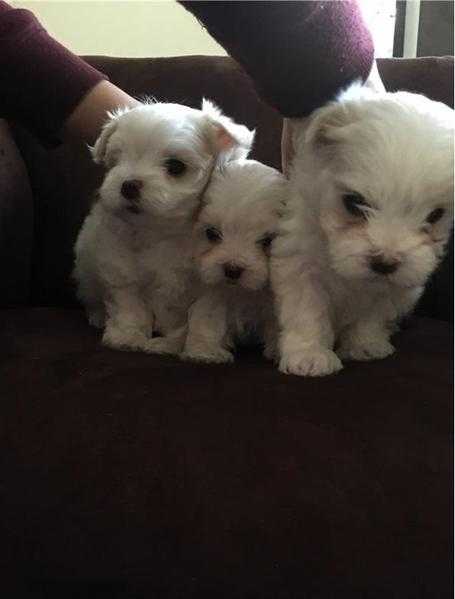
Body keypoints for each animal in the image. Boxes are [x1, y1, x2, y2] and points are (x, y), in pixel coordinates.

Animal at [73, 98, 255, 352]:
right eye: (118, 160)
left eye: (175, 167)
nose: (128, 185)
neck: (163, 231)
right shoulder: (122, 270)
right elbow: (130, 305)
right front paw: (127, 336)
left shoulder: (211, 283)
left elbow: (205, 316)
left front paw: (202, 349)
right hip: (86, 267)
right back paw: (98, 316)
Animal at [183, 159, 286, 364]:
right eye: (211, 233)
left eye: (267, 241)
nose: (232, 269)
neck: (241, 292)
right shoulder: (214, 289)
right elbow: (209, 314)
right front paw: (205, 350)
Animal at [272, 84, 454, 378]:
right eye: (354, 203)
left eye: (436, 215)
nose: (385, 262)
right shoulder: (299, 262)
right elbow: (306, 310)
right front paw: (309, 355)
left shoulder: (393, 288)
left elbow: (374, 314)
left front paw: (365, 344)